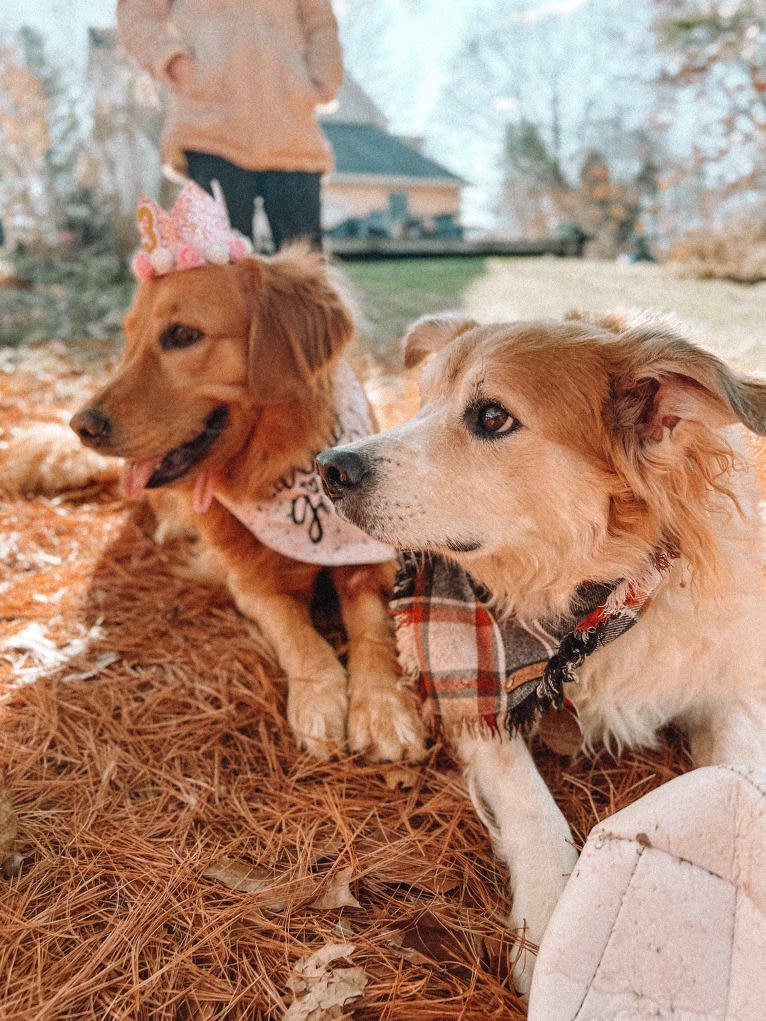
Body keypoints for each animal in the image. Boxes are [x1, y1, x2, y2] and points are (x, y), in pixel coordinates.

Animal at [70, 242, 426, 763]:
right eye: (128, 337)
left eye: (182, 335)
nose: (81, 425)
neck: (278, 466)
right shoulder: (250, 581)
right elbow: (297, 634)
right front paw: (319, 697)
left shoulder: (370, 558)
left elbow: (372, 628)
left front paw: (383, 707)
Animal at [316, 312, 766, 996]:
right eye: (424, 401)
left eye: (492, 416)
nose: (329, 468)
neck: (584, 613)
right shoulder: (471, 693)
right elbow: (531, 805)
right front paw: (553, 916)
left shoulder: (724, 683)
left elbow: (732, 773)